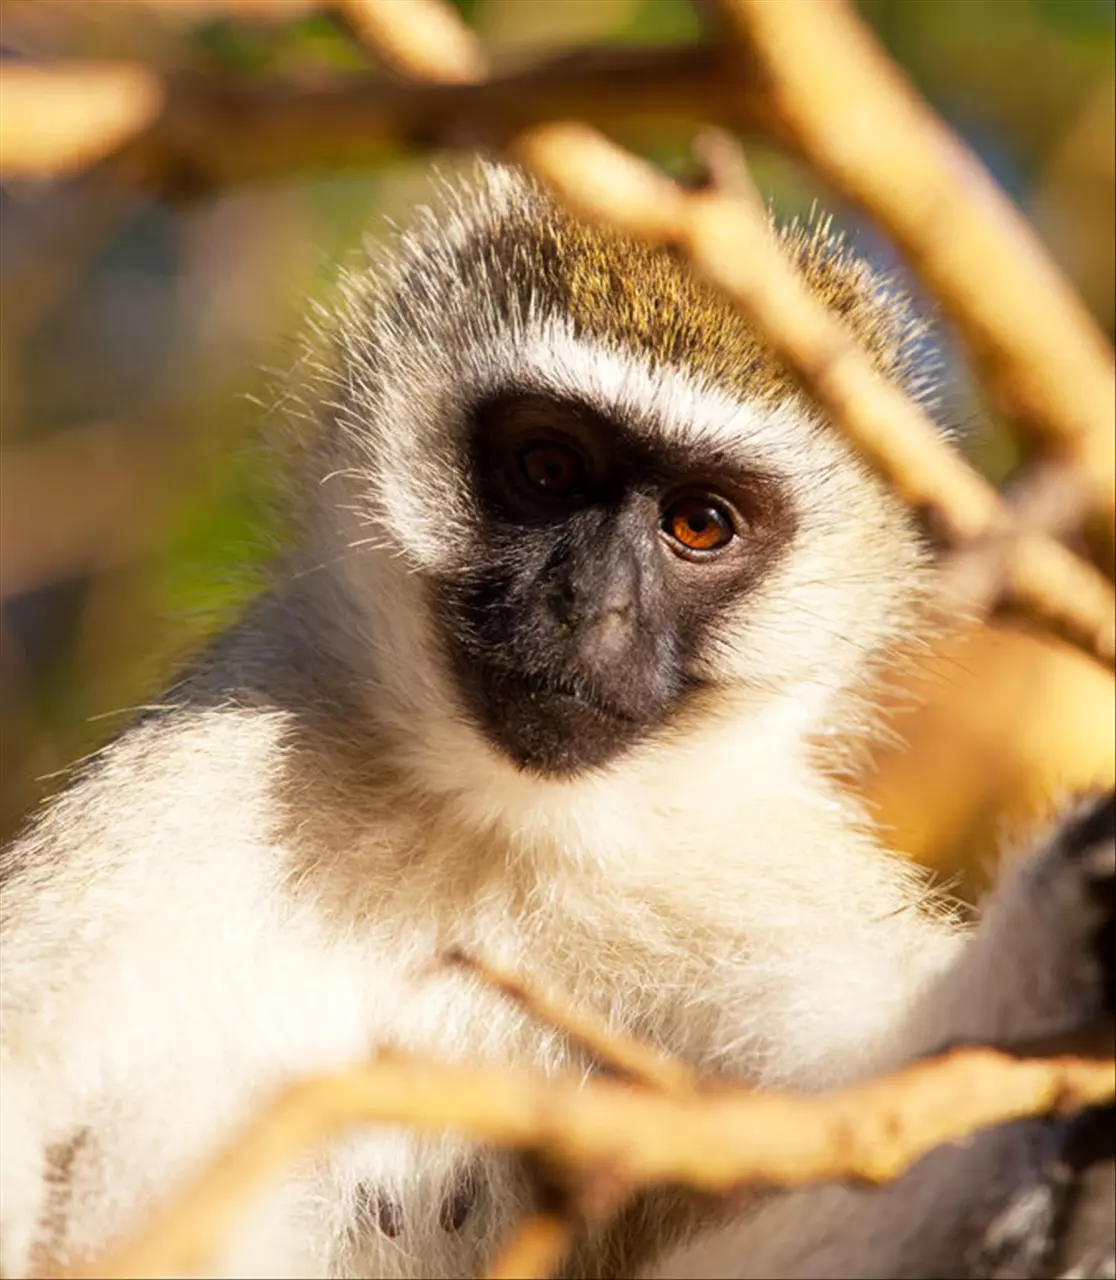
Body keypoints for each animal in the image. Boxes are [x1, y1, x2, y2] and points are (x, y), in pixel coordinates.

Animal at [0, 162, 1110, 1280]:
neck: (487, 828)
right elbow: (27, 1070)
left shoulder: (748, 875)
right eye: (546, 469)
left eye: (699, 523)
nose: (590, 606)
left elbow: (881, 1116)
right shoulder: (211, 763)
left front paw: (1058, 944)